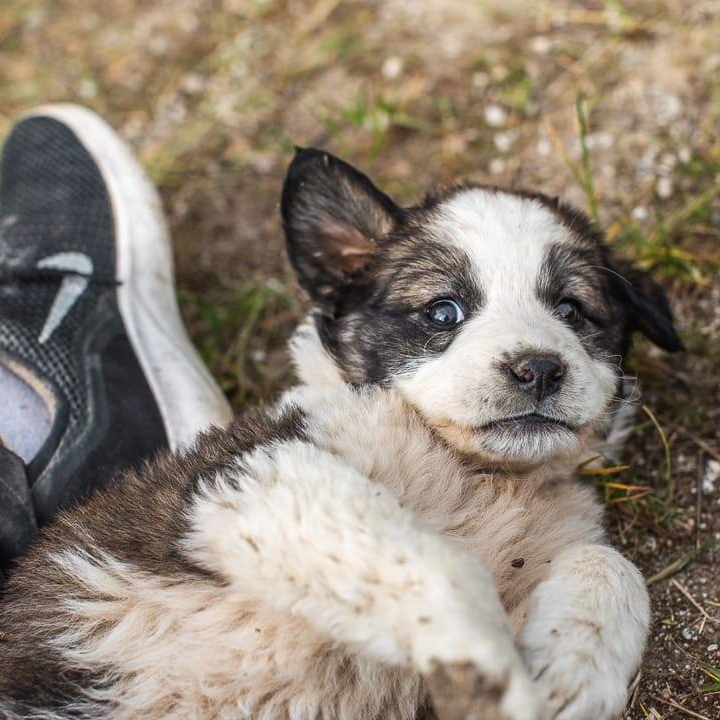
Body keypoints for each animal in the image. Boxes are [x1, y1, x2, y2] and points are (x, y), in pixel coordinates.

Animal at [0, 149, 680, 716]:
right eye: (443, 311)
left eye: (571, 310)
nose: (538, 369)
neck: (476, 475)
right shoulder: (257, 475)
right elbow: (438, 559)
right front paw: (480, 655)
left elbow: (610, 564)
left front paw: (570, 677)